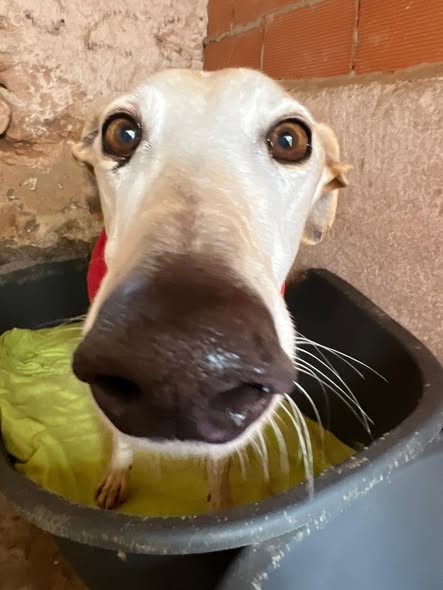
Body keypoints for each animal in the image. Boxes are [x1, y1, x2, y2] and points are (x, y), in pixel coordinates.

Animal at [71, 68, 350, 511]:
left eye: (290, 139)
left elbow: (221, 467)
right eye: (121, 132)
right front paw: (117, 474)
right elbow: (120, 440)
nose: (180, 368)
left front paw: (219, 502)